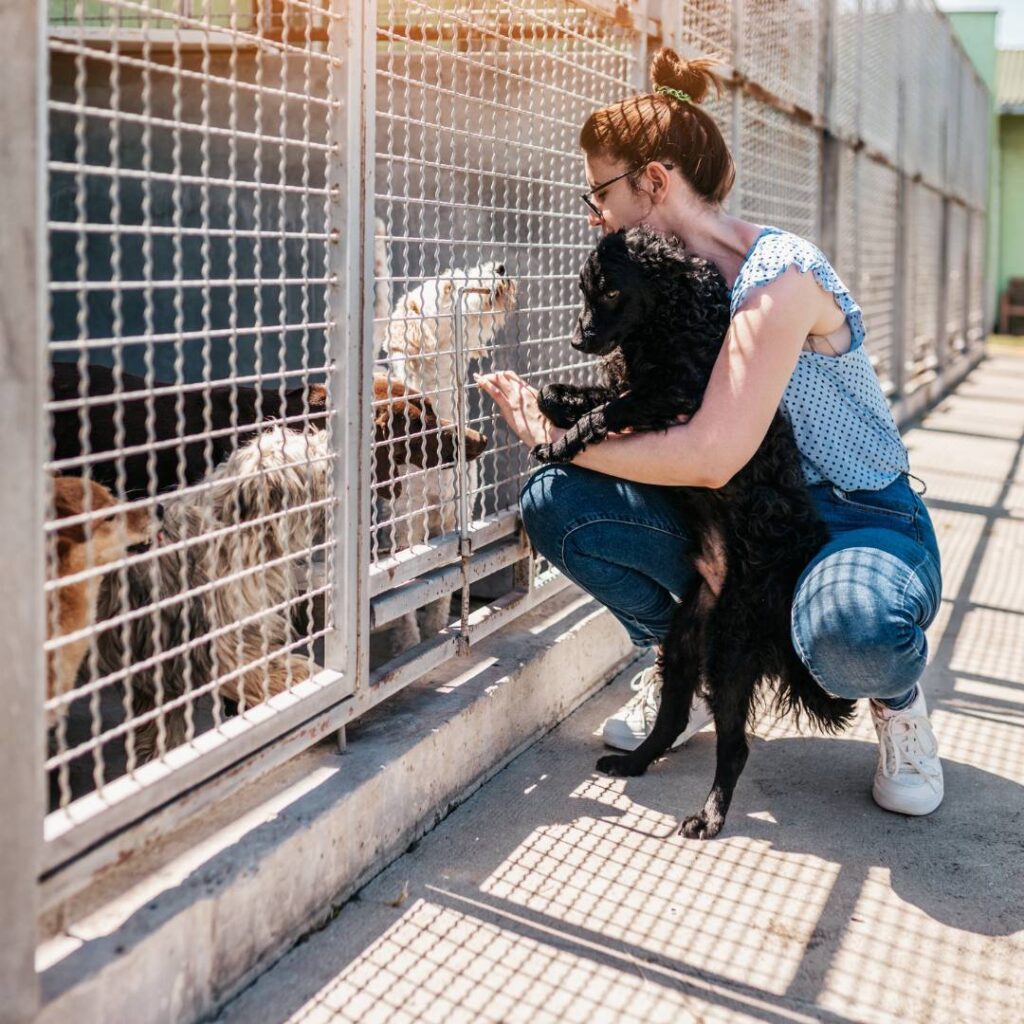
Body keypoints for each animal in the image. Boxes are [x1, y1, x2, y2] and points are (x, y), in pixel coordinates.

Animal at [376, 260, 516, 651]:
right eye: (449, 287)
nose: (501, 267)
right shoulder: (410, 525)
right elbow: (407, 591)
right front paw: (410, 644)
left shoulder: (456, 514)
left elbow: (446, 578)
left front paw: (437, 630)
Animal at [532, 228, 860, 835]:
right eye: (585, 289)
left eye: (611, 290)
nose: (576, 338)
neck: (674, 315)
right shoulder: (639, 382)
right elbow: (569, 394)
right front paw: (555, 408)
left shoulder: (678, 393)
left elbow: (608, 411)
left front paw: (563, 441)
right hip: (684, 643)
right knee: (670, 719)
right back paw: (633, 763)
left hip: (730, 650)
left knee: (734, 745)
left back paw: (709, 815)